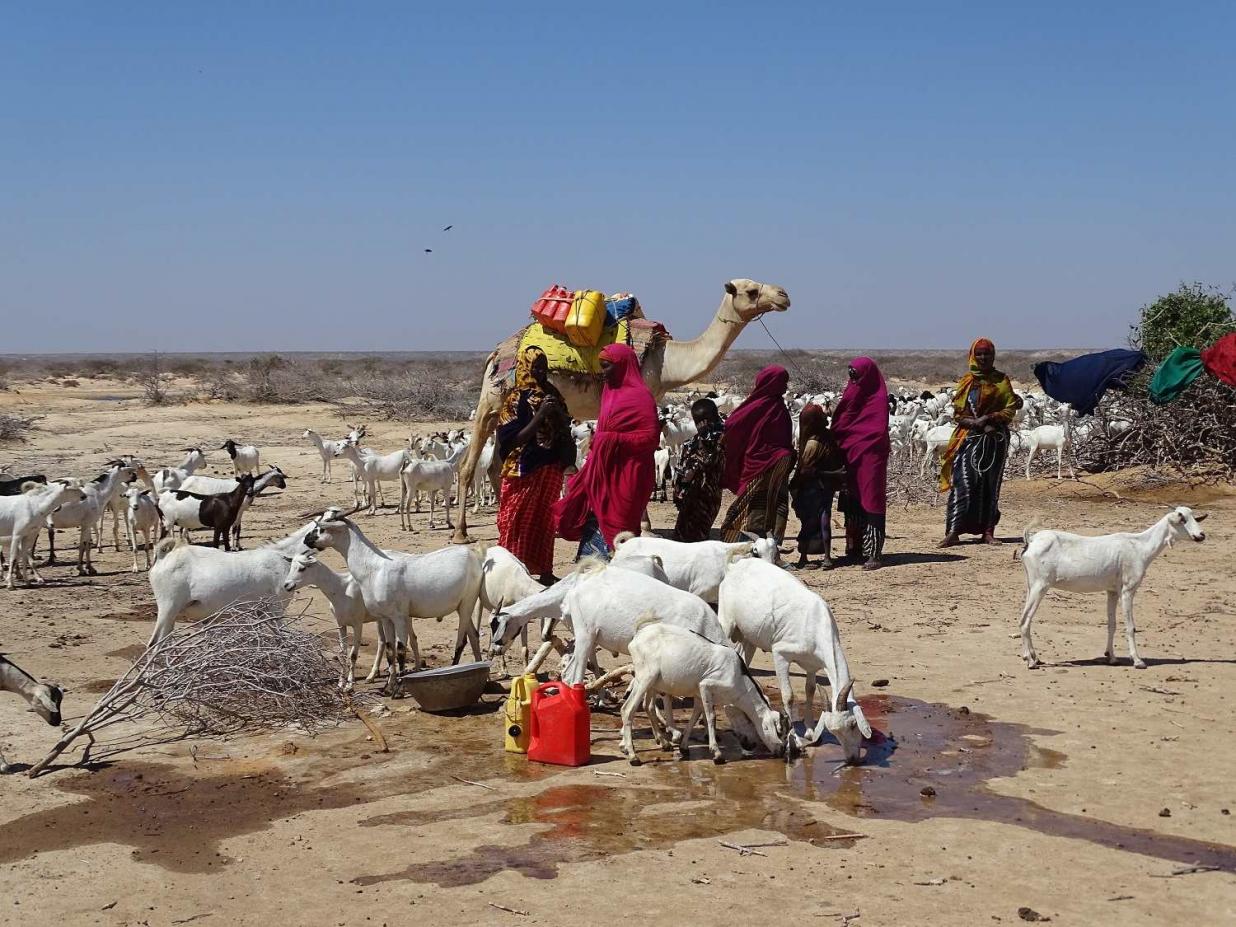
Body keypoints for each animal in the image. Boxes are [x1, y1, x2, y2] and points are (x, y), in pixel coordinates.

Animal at [622, 620, 786, 766]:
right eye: (779, 731)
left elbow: (694, 717)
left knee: (647, 706)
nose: (781, 750)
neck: (738, 676)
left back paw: (663, 743)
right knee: (627, 709)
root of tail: (636, 638)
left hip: (651, 683)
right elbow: (711, 717)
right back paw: (633, 756)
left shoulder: (699, 694)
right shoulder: (706, 685)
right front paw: (717, 754)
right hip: (646, 678)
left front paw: (684, 747)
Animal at [716, 558, 870, 761]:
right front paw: (794, 740)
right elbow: (788, 696)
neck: (815, 623)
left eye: (853, 725)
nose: (852, 758)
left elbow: (810, 689)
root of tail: (735, 565)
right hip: (726, 622)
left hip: (749, 637)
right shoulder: (780, 653)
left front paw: (810, 732)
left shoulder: (813, 665)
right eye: (836, 731)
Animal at [1018, 504, 1211, 672]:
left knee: (1024, 619)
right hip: (1040, 586)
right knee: (1024, 621)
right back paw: (1031, 662)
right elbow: (1130, 626)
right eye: (1182, 519)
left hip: (1031, 585)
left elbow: (1112, 624)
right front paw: (1138, 661)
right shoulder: (1127, 591)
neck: (1139, 546)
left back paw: (1034, 657)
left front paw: (1111, 657)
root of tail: (1031, 540)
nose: (1201, 535)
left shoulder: (1112, 592)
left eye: (1194, 517)